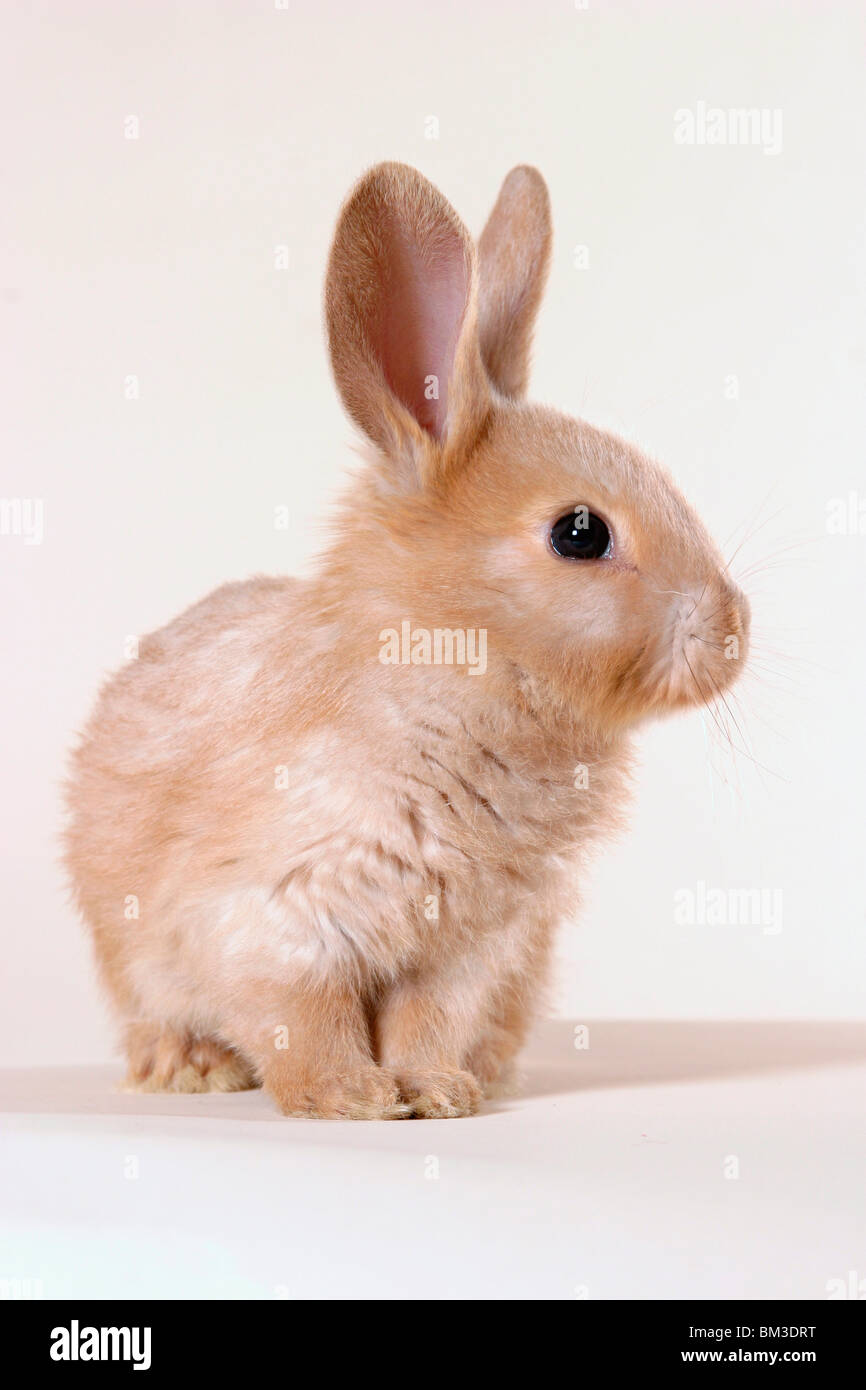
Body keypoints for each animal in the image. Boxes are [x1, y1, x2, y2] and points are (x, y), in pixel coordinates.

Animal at [64, 162, 750, 1119]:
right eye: (580, 533)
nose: (736, 629)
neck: (453, 664)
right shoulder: (279, 918)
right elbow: (306, 1018)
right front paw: (348, 1098)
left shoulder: (467, 947)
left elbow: (428, 1020)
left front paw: (434, 1094)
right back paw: (191, 1068)